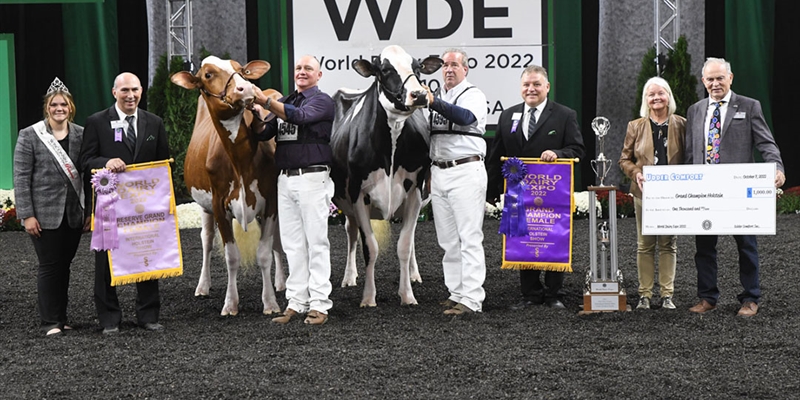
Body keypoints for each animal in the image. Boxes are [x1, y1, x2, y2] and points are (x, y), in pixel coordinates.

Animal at [170, 56, 282, 316]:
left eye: (242, 70)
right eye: (208, 75)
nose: (246, 88)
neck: (241, 160)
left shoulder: (270, 201)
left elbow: (264, 253)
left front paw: (270, 302)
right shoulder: (219, 204)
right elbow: (231, 256)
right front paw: (231, 303)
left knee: (279, 242)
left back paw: (282, 283)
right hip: (204, 206)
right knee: (207, 239)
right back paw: (203, 286)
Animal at [330, 44, 444, 306]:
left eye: (418, 67)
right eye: (384, 69)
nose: (419, 95)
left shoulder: (414, 192)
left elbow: (404, 245)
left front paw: (407, 295)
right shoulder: (357, 195)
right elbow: (369, 247)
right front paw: (368, 297)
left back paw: (413, 274)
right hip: (345, 202)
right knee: (351, 232)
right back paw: (349, 277)